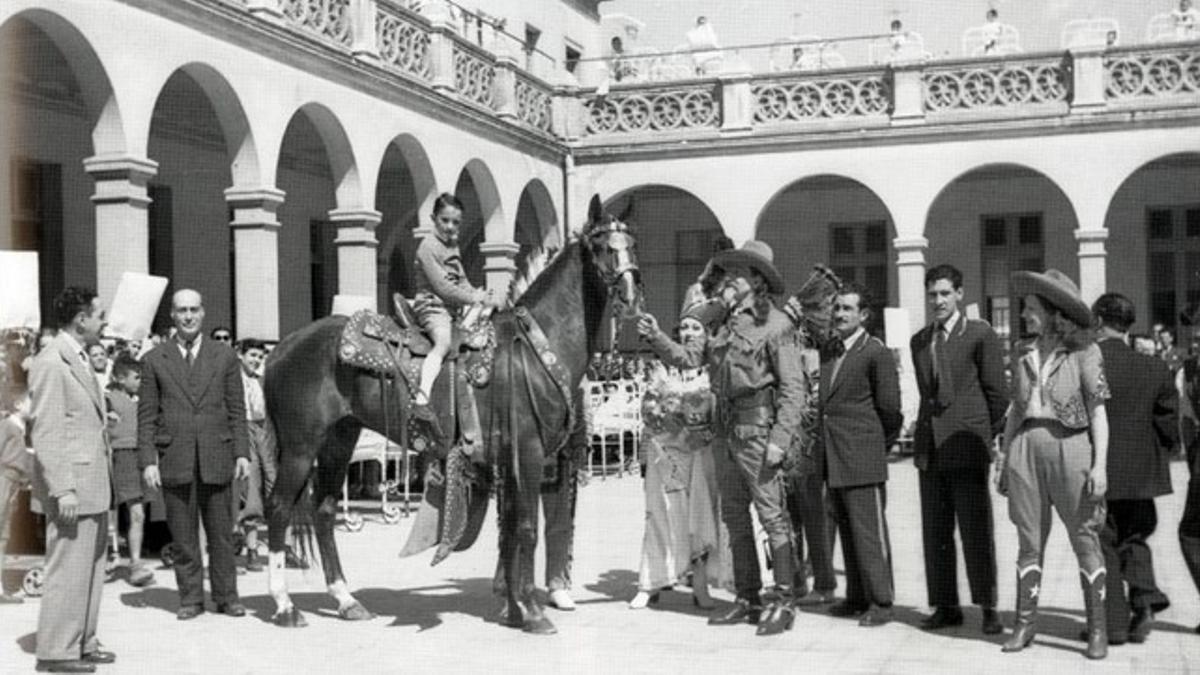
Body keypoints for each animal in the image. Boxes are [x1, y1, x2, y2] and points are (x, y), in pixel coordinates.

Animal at [259, 194, 643, 629]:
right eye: (601, 245)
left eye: (631, 243)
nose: (630, 293)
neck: (534, 347)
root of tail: (280, 349)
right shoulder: (527, 453)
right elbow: (527, 528)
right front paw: (531, 612)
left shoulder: (510, 458)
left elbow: (511, 529)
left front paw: (514, 607)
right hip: (300, 447)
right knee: (278, 509)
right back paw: (285, 605)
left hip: (339, 441)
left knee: (323, 510)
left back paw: (345, 600)